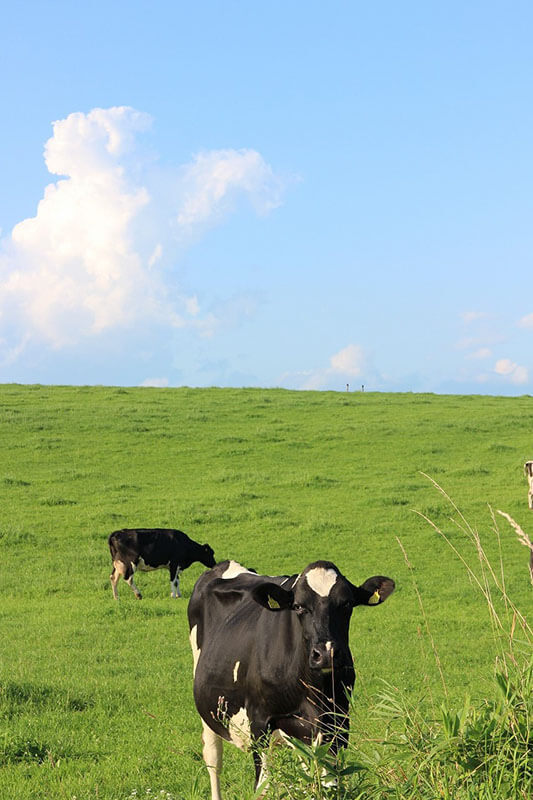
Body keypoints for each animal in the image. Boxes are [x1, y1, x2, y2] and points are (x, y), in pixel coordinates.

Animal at [186, 560, 390, 796]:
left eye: (347, 604)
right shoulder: (259, 723)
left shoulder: (337, 723)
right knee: (213, 760)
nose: (326, 653)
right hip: (208, 710)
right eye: (299, 606)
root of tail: (225, 564)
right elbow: (263, 787)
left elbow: (329, 783)